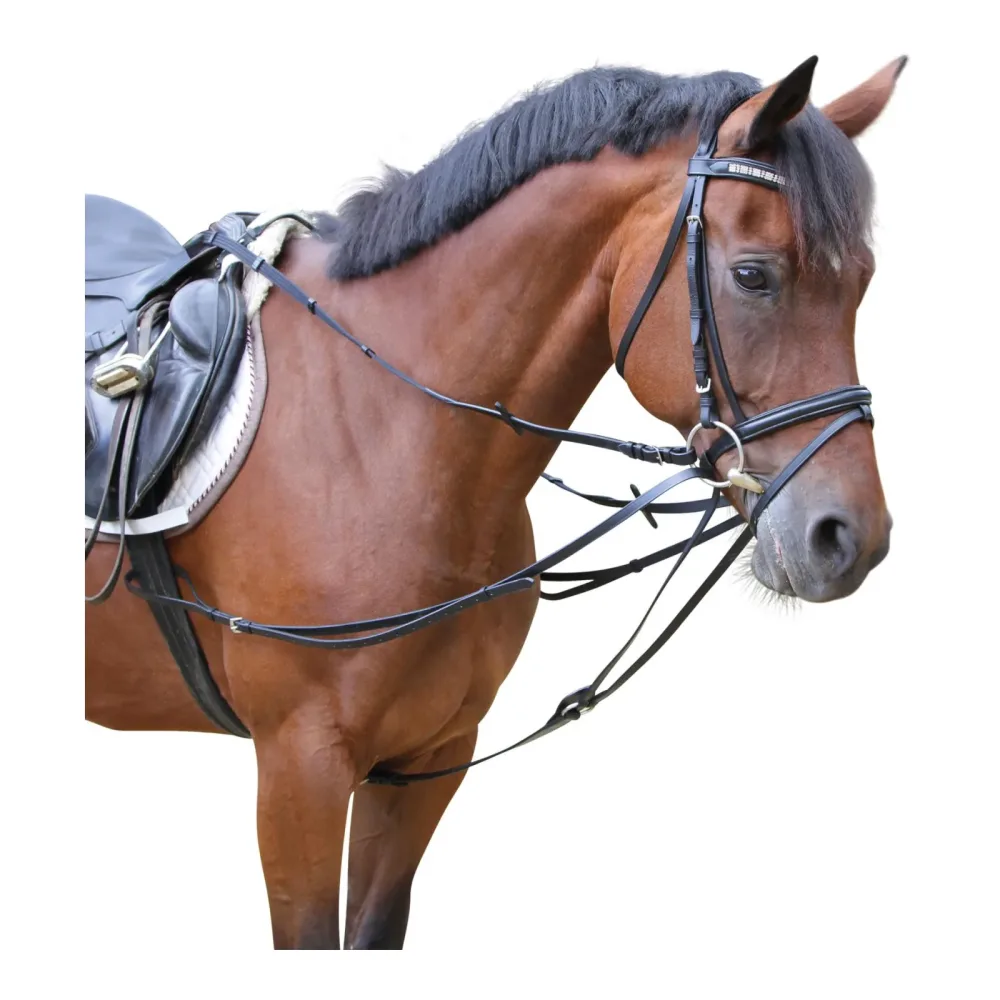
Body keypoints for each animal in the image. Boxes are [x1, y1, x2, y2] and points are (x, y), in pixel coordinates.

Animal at [85, 54, 903, 949]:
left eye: (863, 284)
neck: (382, 429)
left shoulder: (428, 759)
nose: (848, 537)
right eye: (755, 275)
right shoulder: (300, 767)